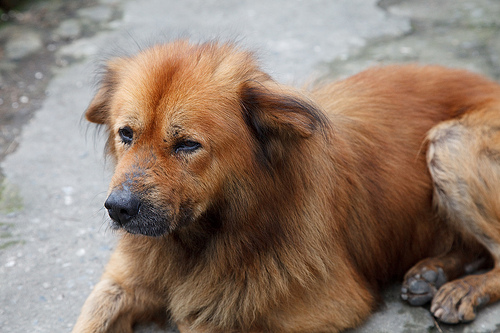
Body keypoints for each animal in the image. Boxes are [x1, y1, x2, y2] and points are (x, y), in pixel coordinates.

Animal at [72, 40, 500, 330]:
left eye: (187, 144)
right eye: (126, 134)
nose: (118, 208)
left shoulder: (327, 303)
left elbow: (204, 318)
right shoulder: (122, 281)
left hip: (450, 143)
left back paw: (463, 288)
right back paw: (433, 273)